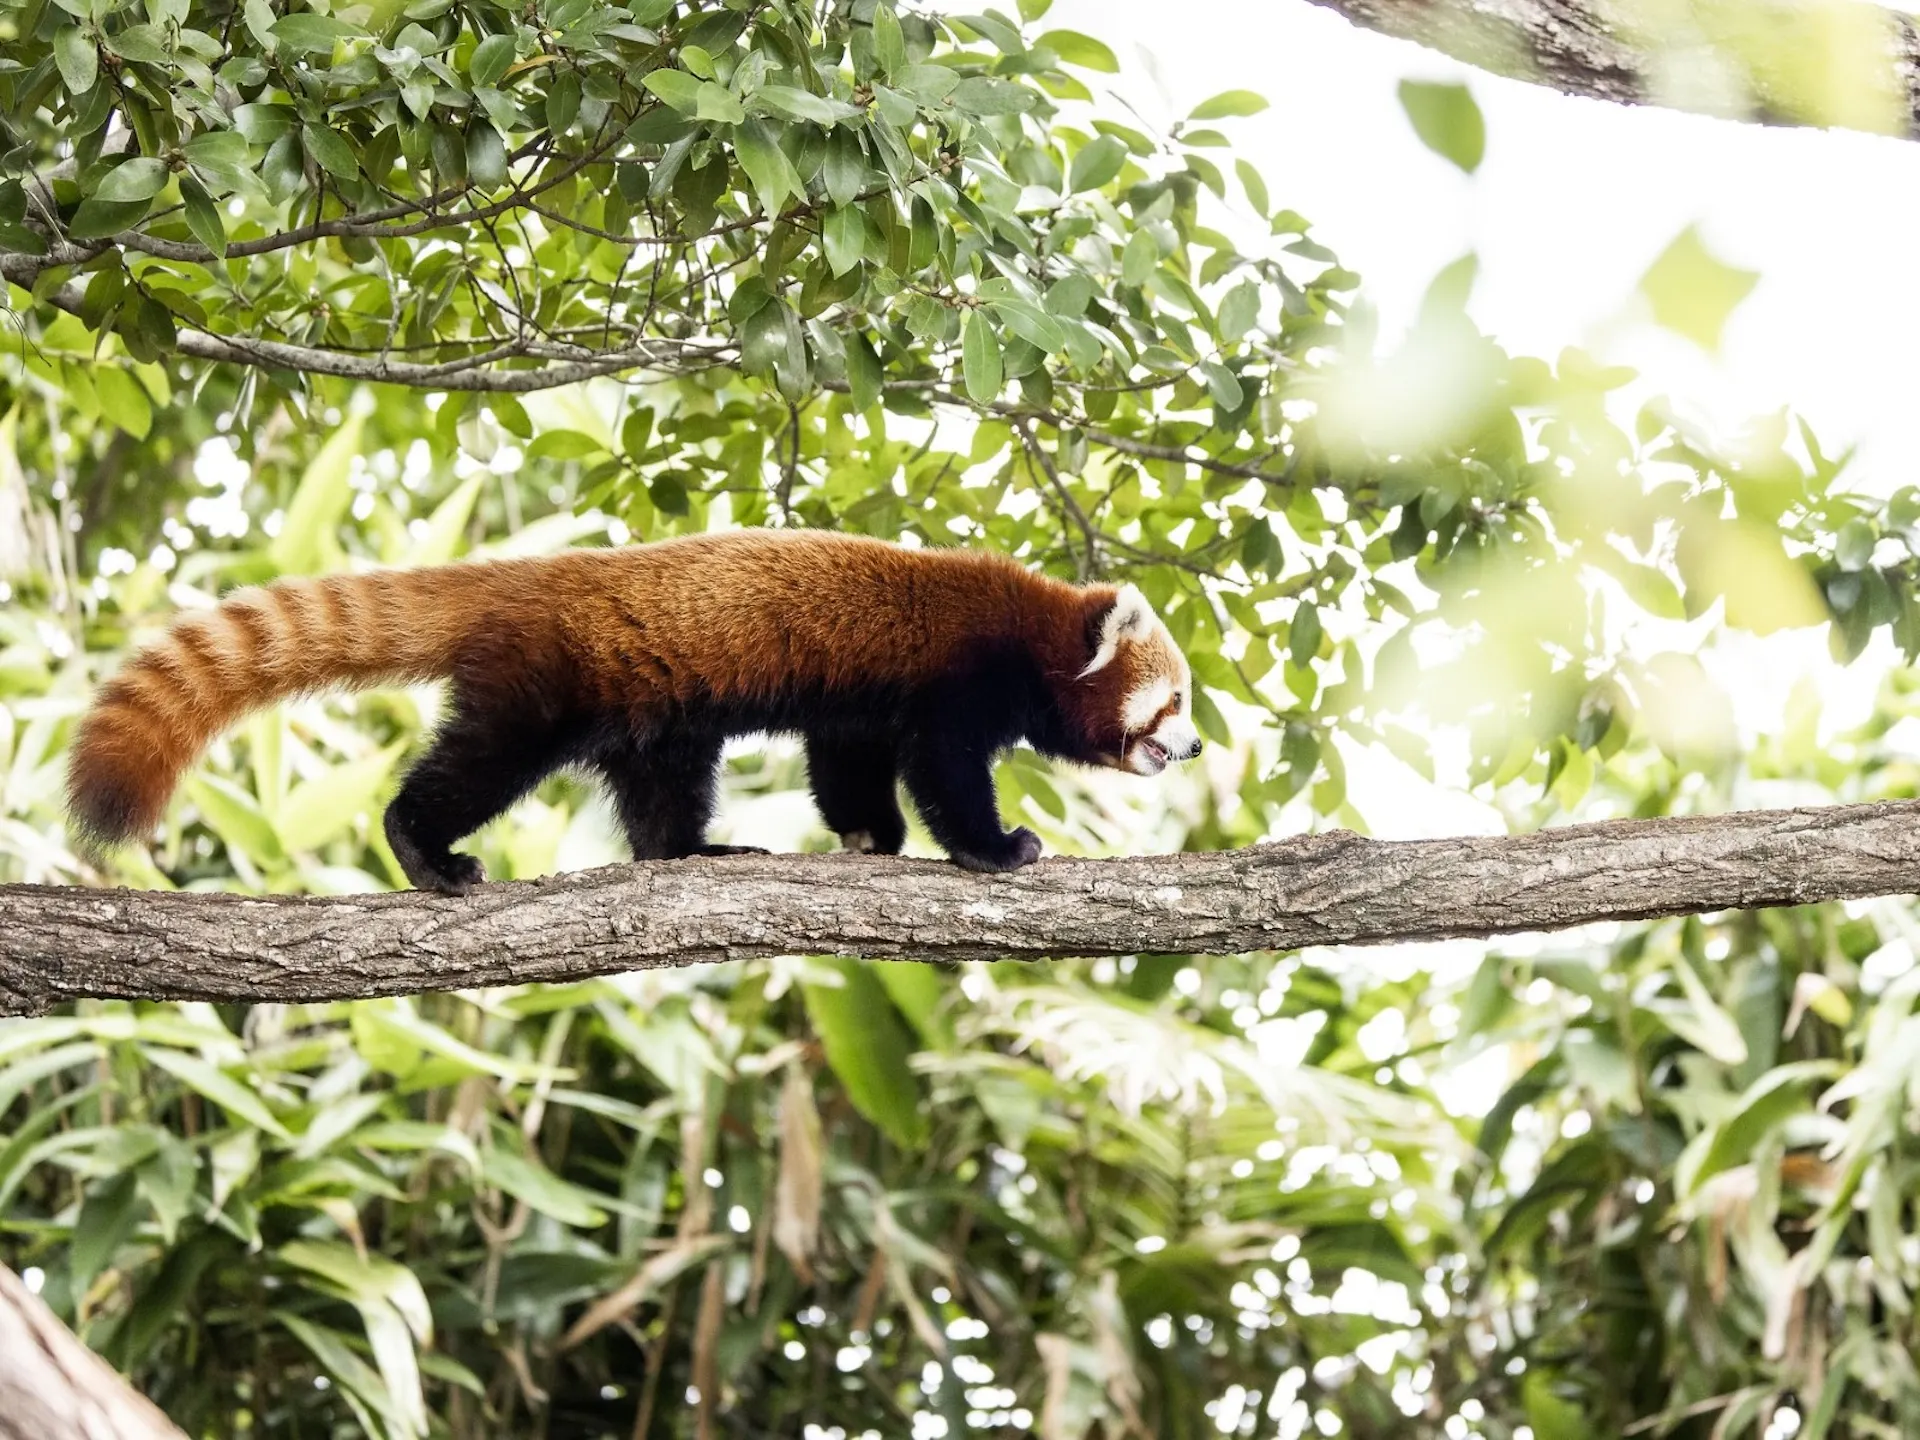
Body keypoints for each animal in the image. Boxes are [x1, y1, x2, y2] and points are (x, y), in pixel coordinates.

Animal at [67, 529, 1198, 890]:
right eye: (1177, 700)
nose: (1189, 749)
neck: (1036, 632)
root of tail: (531, 577)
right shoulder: (953, 683)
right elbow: (946, 773)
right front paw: (996, 848)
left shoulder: (860, 705)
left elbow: (848, 766)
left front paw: (869, 838)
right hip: (543, 684)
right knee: (477, 766)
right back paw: (425, 850)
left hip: (655, 715)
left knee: (664, 793)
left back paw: (694, 851)